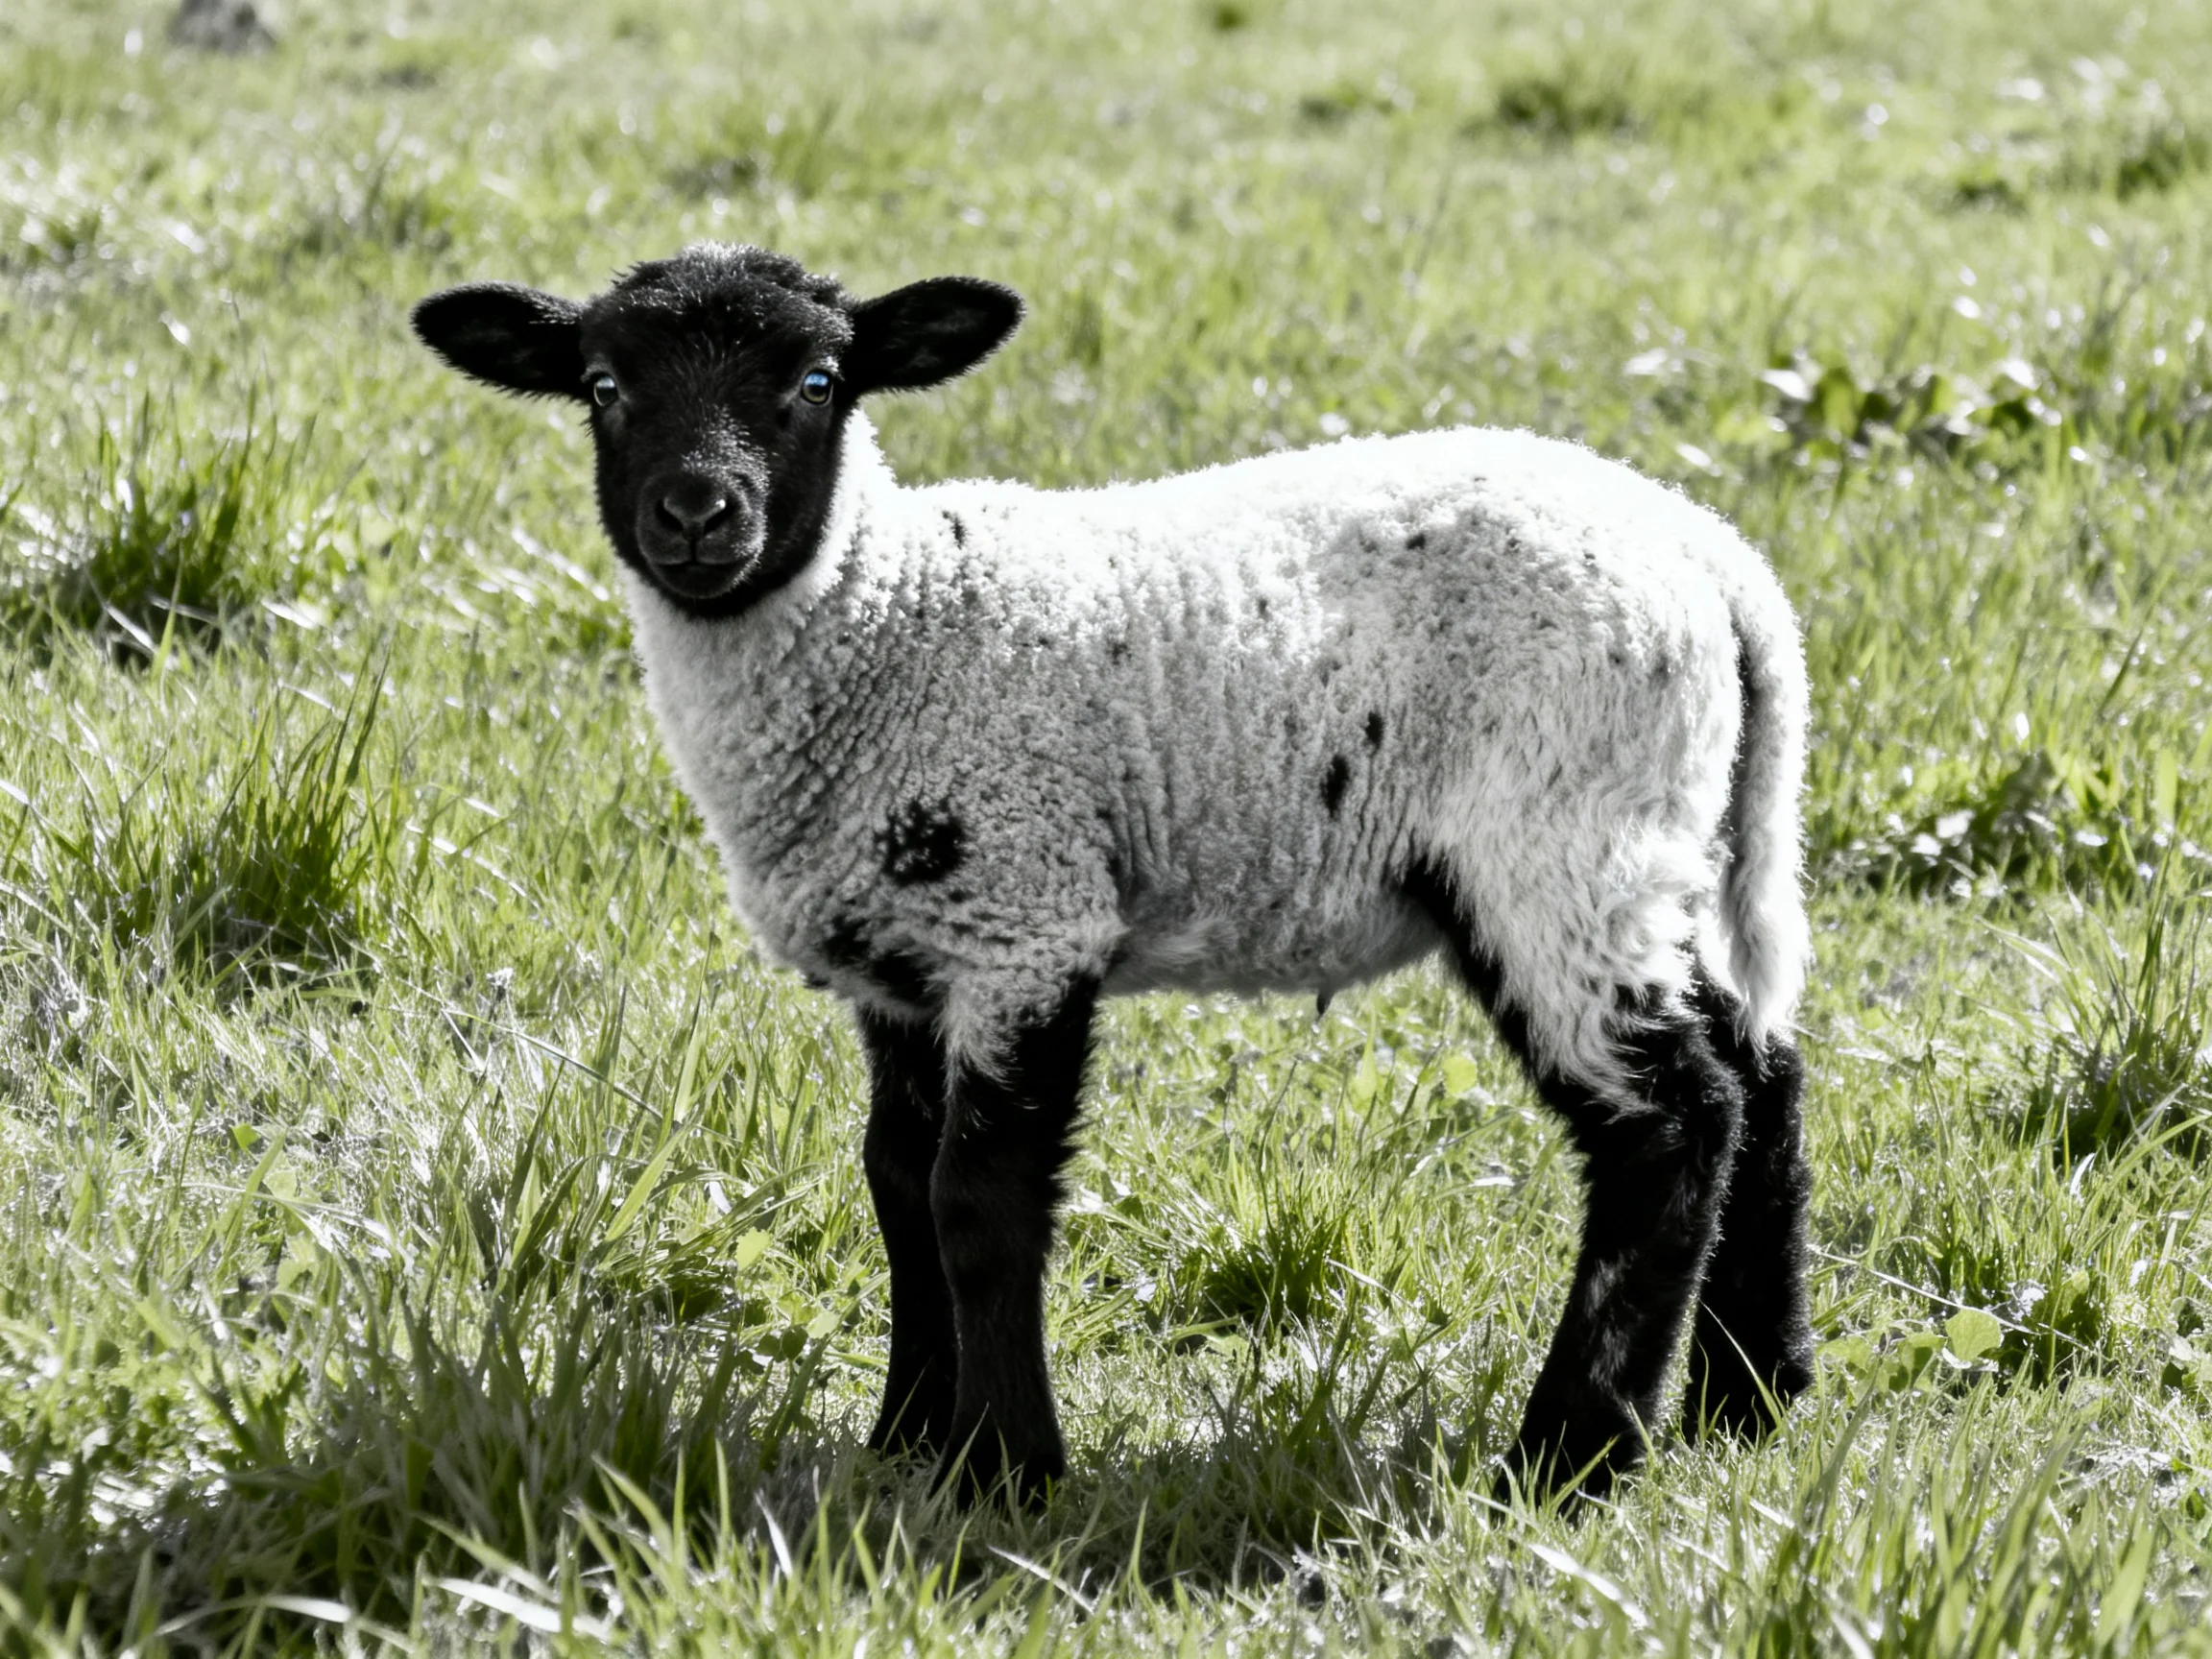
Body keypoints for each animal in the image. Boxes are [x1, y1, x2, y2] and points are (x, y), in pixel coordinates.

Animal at [411, 242, 1816, 1505]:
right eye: (603, 385)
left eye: (817, 381)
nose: (699, 515)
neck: (892, 623)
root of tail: (1717, 562)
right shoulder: (902, 962)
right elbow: (894, 1185)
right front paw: (904, 1439)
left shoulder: (1025, 919)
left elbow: (976, 1202)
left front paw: (1005, 1470)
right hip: (1654, 851)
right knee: (1762, 1076)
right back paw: (1749, 1402)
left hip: (1556, 837)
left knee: (1673, 1120)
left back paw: (1575, 1455)